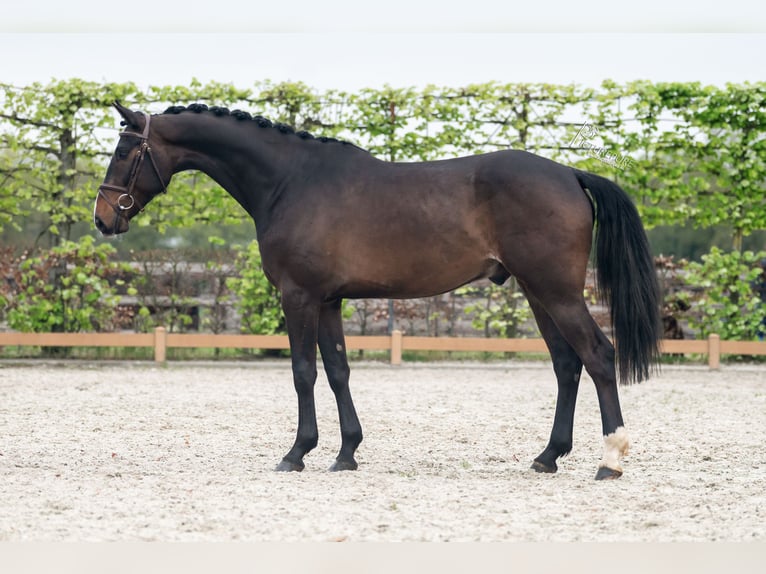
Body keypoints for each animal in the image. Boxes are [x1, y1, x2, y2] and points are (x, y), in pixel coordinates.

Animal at [94, 102, 660, 482]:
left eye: (124, 149)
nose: (103, 218)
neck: (290, 181)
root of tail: (569, 173)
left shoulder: (299, 297)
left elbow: (303, 372)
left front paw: (296, 453)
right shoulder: (328, 300)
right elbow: (338, 371)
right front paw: (346, 453)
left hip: (556, 290)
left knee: (598, 355)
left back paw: (610, 459)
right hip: (538, 292)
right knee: (567, 364)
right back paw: (547, 457)